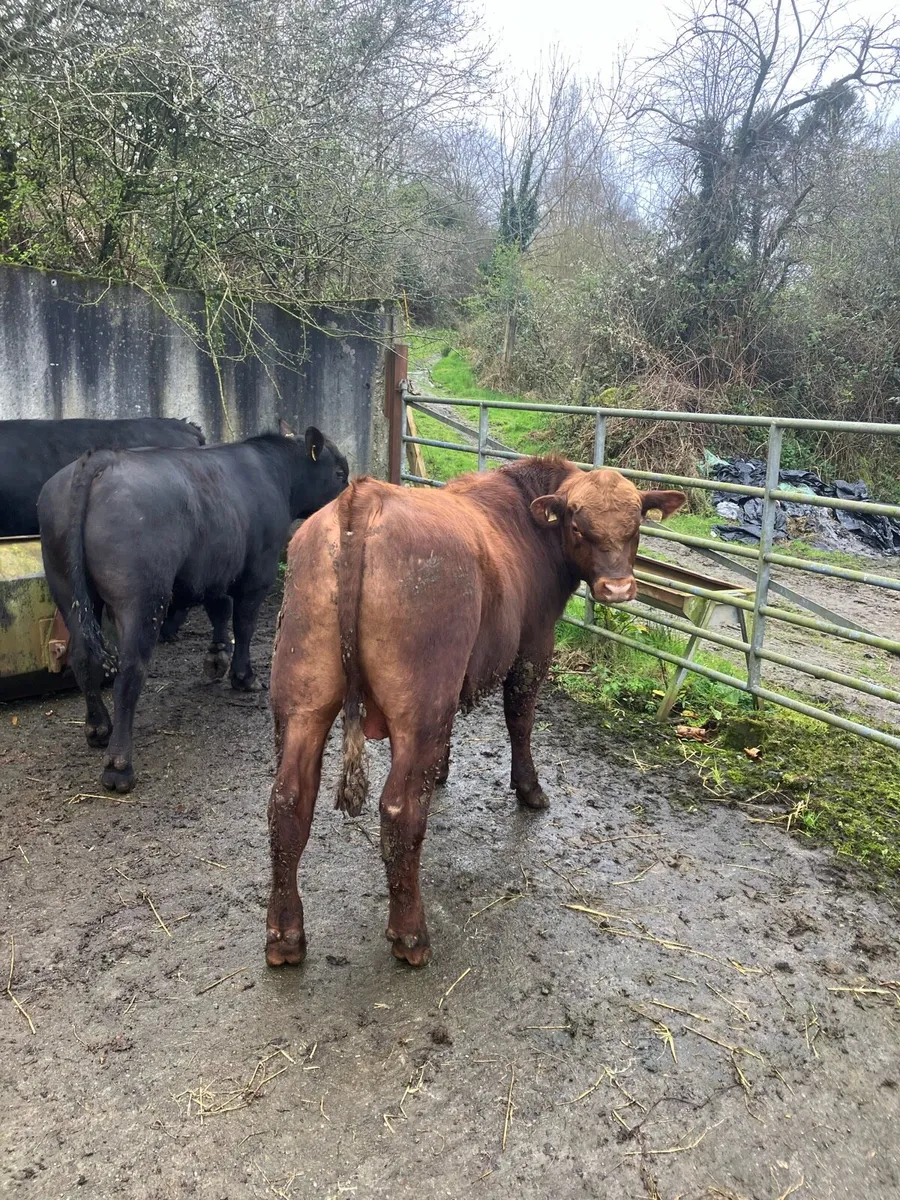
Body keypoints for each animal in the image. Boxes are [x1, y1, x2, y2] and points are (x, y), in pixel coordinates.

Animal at [38, 428, 349, 793]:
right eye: (339, 473)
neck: (274, 471)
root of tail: (101, 458)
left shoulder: (215, 569)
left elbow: (219, 608)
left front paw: (217, 657)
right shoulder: (257, 571)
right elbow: (243, 624)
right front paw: (244, 677)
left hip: (65, 586)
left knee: (83, 659)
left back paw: (98, 728)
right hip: (142, 597)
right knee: (129, 672)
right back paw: (119, 767)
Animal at [265, 455, 685, 969]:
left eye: (636, 526)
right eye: (577, 525)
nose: (618, 587)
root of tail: (363, 498)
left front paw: (445, 770)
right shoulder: (533, 645)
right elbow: (520, 719)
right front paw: (530, 789)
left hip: (302, 697)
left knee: (288, 803)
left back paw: (285, 935)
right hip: (420, 703)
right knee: (400, 810)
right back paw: (410, 936)